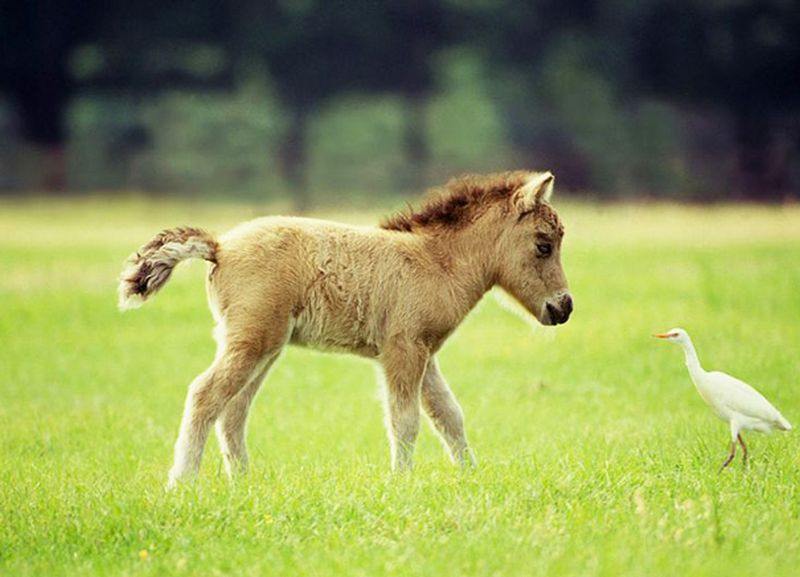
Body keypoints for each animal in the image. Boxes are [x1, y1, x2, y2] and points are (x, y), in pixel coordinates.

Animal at [117, 171, 568, 486]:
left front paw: (470, 477)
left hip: (264, 347)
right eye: (543, 244)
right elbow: (405, 420)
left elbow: (449, 415)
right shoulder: (403, 349)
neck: (436, 263)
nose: (563, 308)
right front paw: (401, 484)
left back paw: (242, 483)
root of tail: (220, 247)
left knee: (234, 410)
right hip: (252, 342)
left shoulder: (424, 353)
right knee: (205, 394)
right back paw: (183, 482)